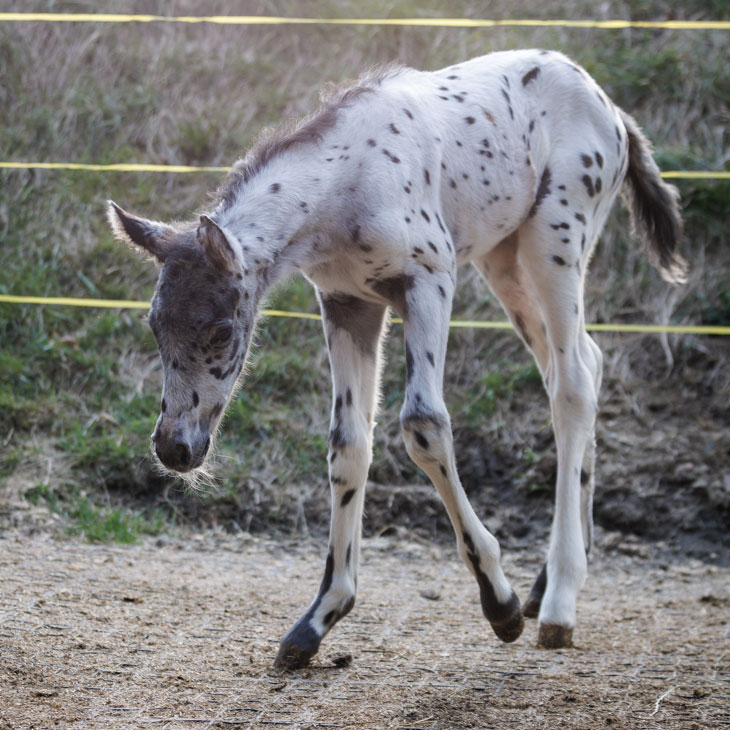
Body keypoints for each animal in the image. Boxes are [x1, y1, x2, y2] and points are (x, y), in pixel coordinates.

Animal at [108, 48, 684, 668]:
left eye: (219, 331)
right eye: (154, 326)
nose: (174, 448)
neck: (347, 184)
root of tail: (612, 109)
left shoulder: (429, 280)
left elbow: (423, 426)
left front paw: (499, 603)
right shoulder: (347, 304)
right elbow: (348, 445)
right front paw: (320, 617)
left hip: (556, 237)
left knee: (573, 380)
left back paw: (557, 605)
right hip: (504, 257)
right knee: (583, 366)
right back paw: (547, 583)